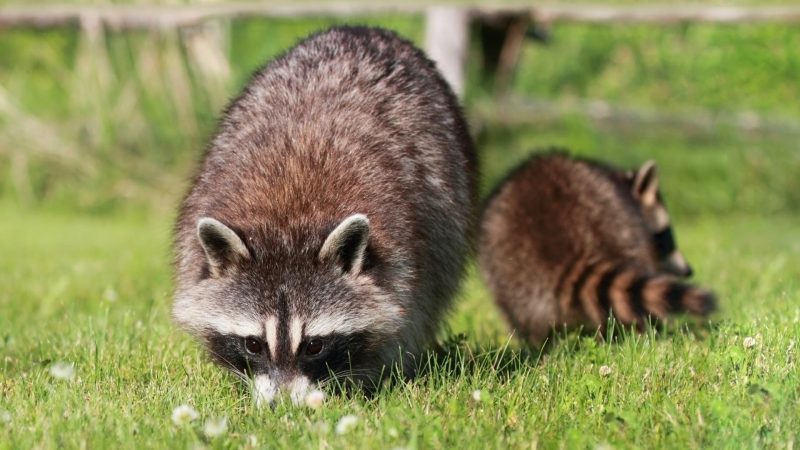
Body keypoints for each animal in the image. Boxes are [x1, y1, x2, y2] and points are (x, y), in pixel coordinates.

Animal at [172, 26, 476, 406]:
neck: (287, 219)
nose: (280, 406)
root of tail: (362, 31)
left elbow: (400, 313)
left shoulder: (403, 250)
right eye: (253, 344)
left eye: (314, 345)